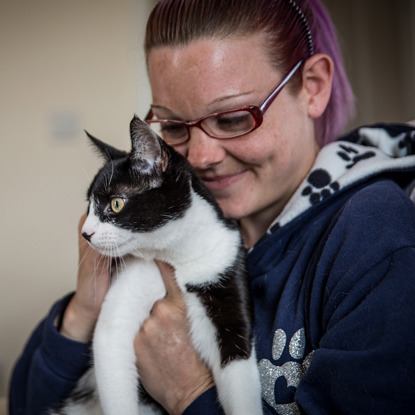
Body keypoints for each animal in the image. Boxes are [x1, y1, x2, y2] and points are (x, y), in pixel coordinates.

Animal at [50, 115, 262, 414]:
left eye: (116, 203)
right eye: (88, 207)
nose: (86, 233)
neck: (176, 254)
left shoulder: (225, 265)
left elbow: (238, 363)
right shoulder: (130, 288)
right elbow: (112, 345)